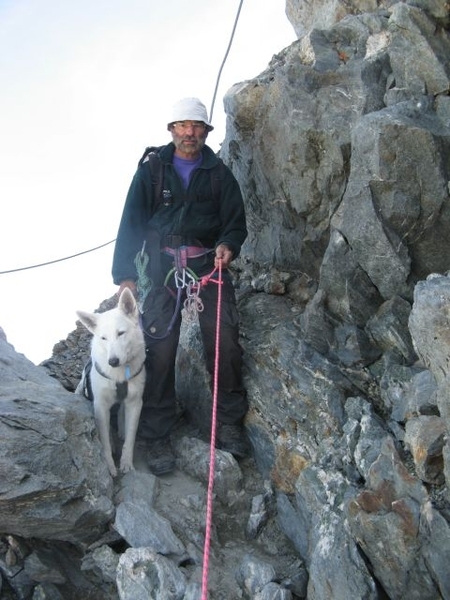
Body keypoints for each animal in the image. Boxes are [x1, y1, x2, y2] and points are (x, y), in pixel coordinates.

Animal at [76, 290, 146, 478]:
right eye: (103, 338)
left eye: (121, 333)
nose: (112, 361)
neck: (120, 374)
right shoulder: (100, 405)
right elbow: (105, 440)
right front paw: (109, 466)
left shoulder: (135, 403)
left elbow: (131, 437)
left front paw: (126, 463)